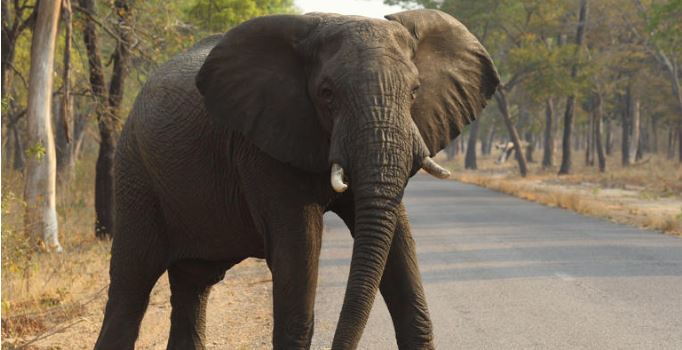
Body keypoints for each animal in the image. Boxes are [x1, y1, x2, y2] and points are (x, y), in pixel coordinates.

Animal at [94, 8, 494, 350]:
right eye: (327, 94)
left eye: (414, 91)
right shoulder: (262, 146)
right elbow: (299, 248)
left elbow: (398, 241)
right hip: (135, 173)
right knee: (131, 288)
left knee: (192, 286)